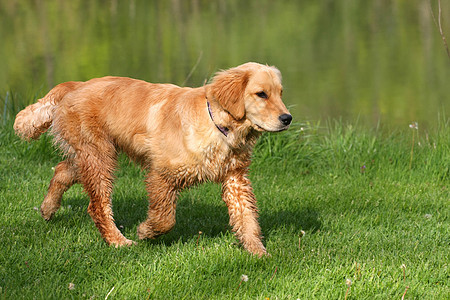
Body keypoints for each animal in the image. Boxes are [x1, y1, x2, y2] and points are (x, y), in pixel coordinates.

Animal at [14, 62, 292, 256]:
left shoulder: (235, 178)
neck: (218, 124)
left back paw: (48, 209)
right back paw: (118, 241)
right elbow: (165, 218)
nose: (287, 118)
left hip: (90, 154)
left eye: (280, 93)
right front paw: (145, 232)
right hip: (99, 156)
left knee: (62, 170)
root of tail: (75, 84)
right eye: (261, 94)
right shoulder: (161, 175)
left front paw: (258, 252)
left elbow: (247, 217)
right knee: (97, 205)